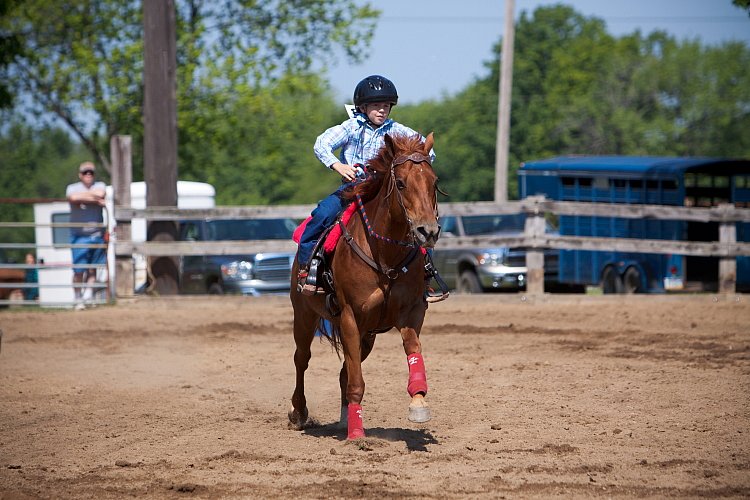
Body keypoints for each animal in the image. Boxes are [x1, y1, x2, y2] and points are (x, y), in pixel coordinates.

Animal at [288, 132, 440, 438]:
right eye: (401, 182)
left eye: (434, 182)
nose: (427, 231)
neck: (385, 256)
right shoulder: (349, 316)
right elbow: (357, 380)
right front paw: (357, 436)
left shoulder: (412, 313)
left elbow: (412, 350)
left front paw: (418, 401)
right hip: (305, 314)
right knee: (302, 358)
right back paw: (299, 412)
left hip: (367, 334)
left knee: (345, 371)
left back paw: (346, 418)